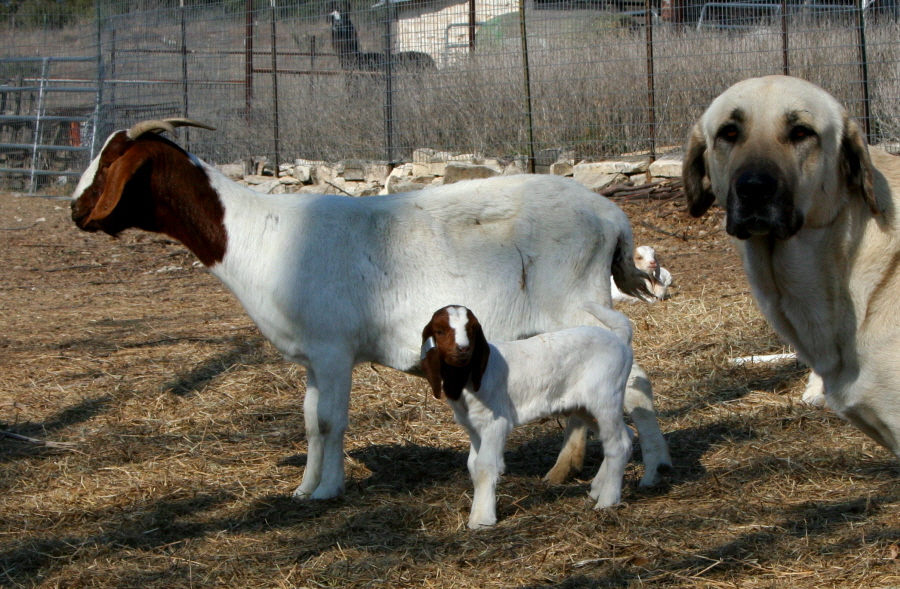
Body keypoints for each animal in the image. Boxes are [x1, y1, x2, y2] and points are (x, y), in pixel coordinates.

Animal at [70, 119, 672, 500]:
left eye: (111, 163)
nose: (76, 210)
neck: (259, 234)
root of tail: (613, 218)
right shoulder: (314, 358)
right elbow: (310, 421)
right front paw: (303, 487)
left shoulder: (335, 350)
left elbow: (331, 421)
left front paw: (328, 491)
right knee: (630, 377)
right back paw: (637, 468)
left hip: (576, 302)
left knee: (623, 354)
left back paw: (598, 466)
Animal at [422, 304, 632, 528]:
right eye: (439, 331)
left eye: (471, 330)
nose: (463, 349)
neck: (468, 378)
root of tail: (620, 338)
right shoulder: (474, 427)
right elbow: (472, 465)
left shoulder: (496, 424)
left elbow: (485, 466)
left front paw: (481, 518)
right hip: (585, 407)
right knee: (624, 436)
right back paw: (598, 488)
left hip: (606, 398)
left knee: (618, 445)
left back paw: (607, 500)